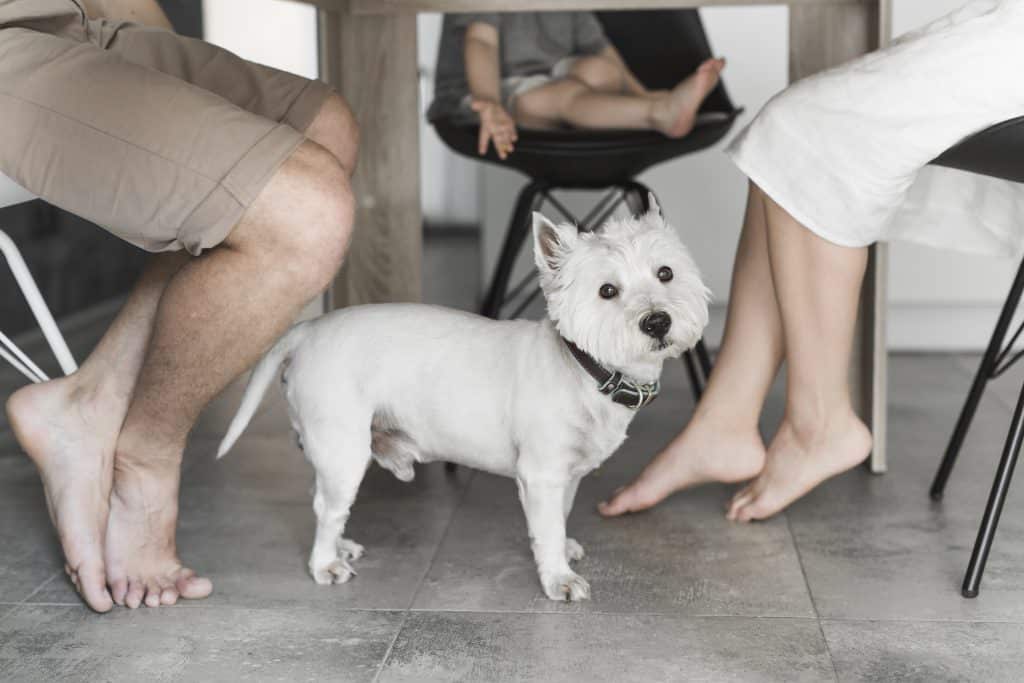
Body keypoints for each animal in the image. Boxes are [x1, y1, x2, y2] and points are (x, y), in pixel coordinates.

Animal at [218, 198, 704, 602]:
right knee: (327, 506)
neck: (585, 369)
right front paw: (558, 577)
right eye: (607, 291)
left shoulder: (567, 475)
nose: (658, 322)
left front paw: (562, 550)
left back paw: (341, 546)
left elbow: (560, 515)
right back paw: (325, 564)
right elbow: (546, 528)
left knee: (322, 498)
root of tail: (307, 329)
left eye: (665, 273)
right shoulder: (542, 473)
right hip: (343, 448)